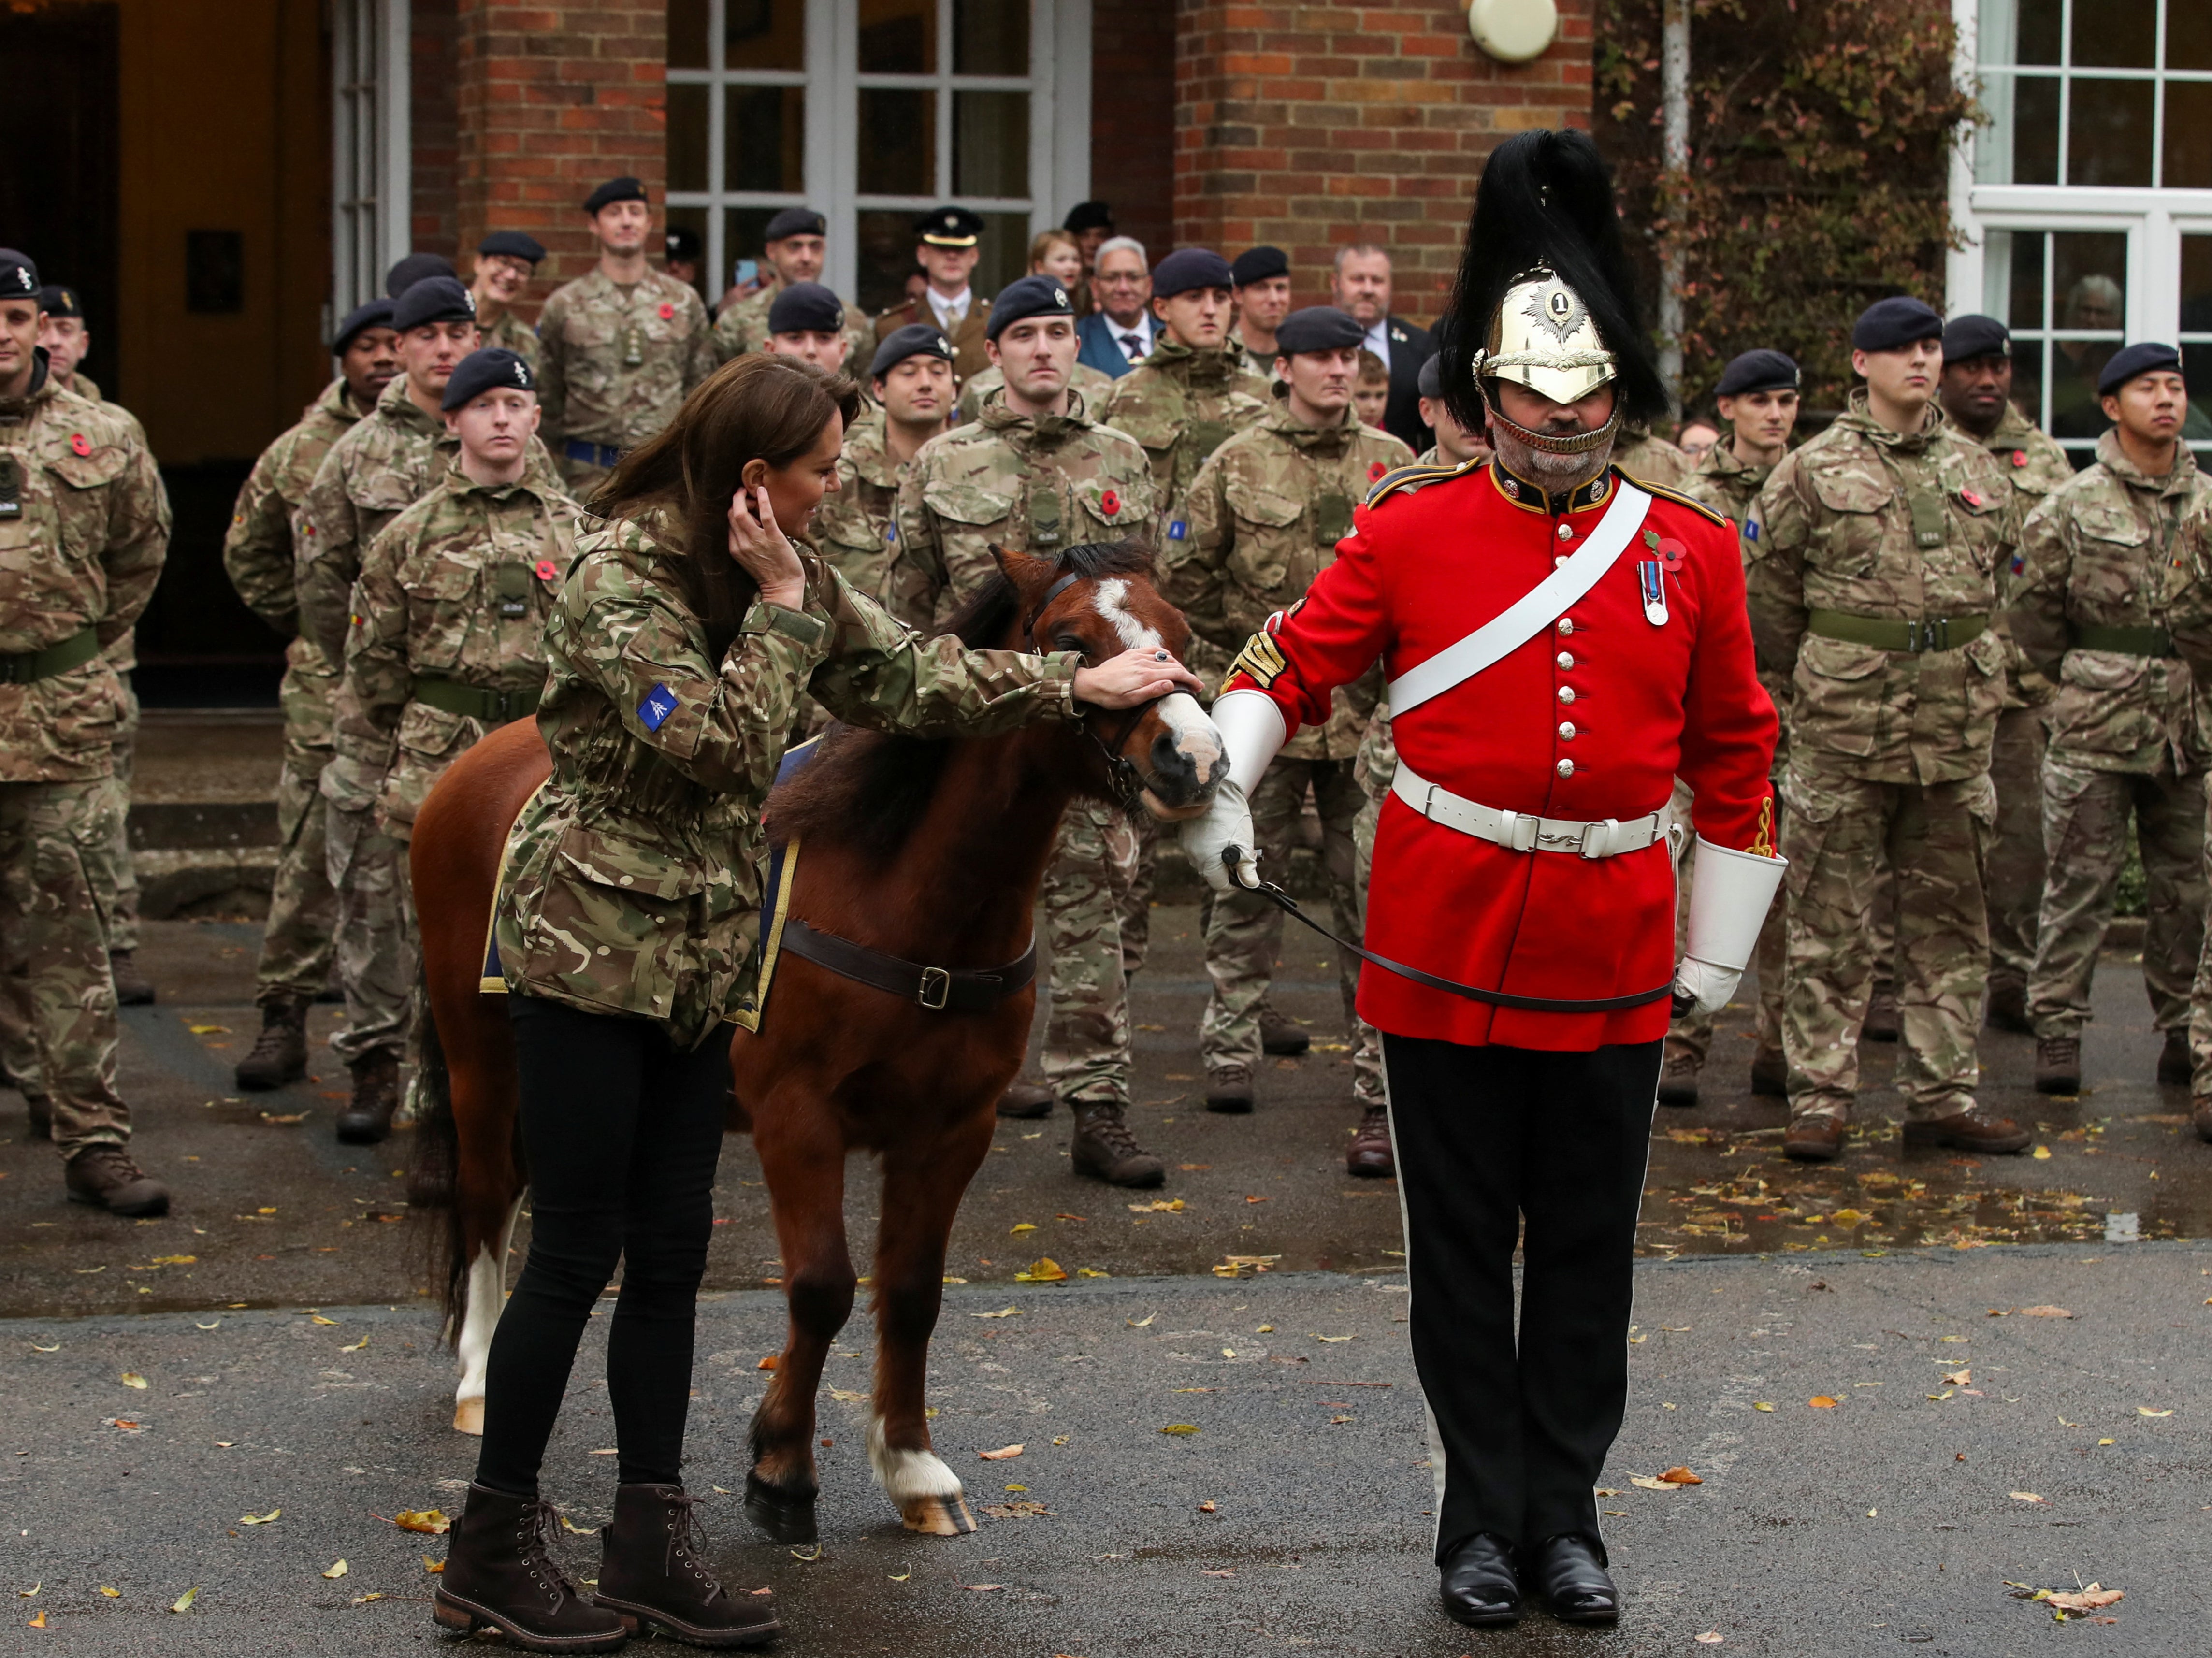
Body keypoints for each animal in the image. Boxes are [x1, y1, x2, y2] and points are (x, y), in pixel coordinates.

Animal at [407, 546, 1221, 1547]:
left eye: (1178, 635)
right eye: (1071, 639)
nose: (1195, 757)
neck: (909, 900)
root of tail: (474, 765)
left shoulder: (954, 1129)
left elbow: (911, 1291)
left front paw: (909, 1464)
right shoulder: (797, 1117)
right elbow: (824, 1285)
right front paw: (783, 1467)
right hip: (482, 1059)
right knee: (487, 1193)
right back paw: (483, 1373)